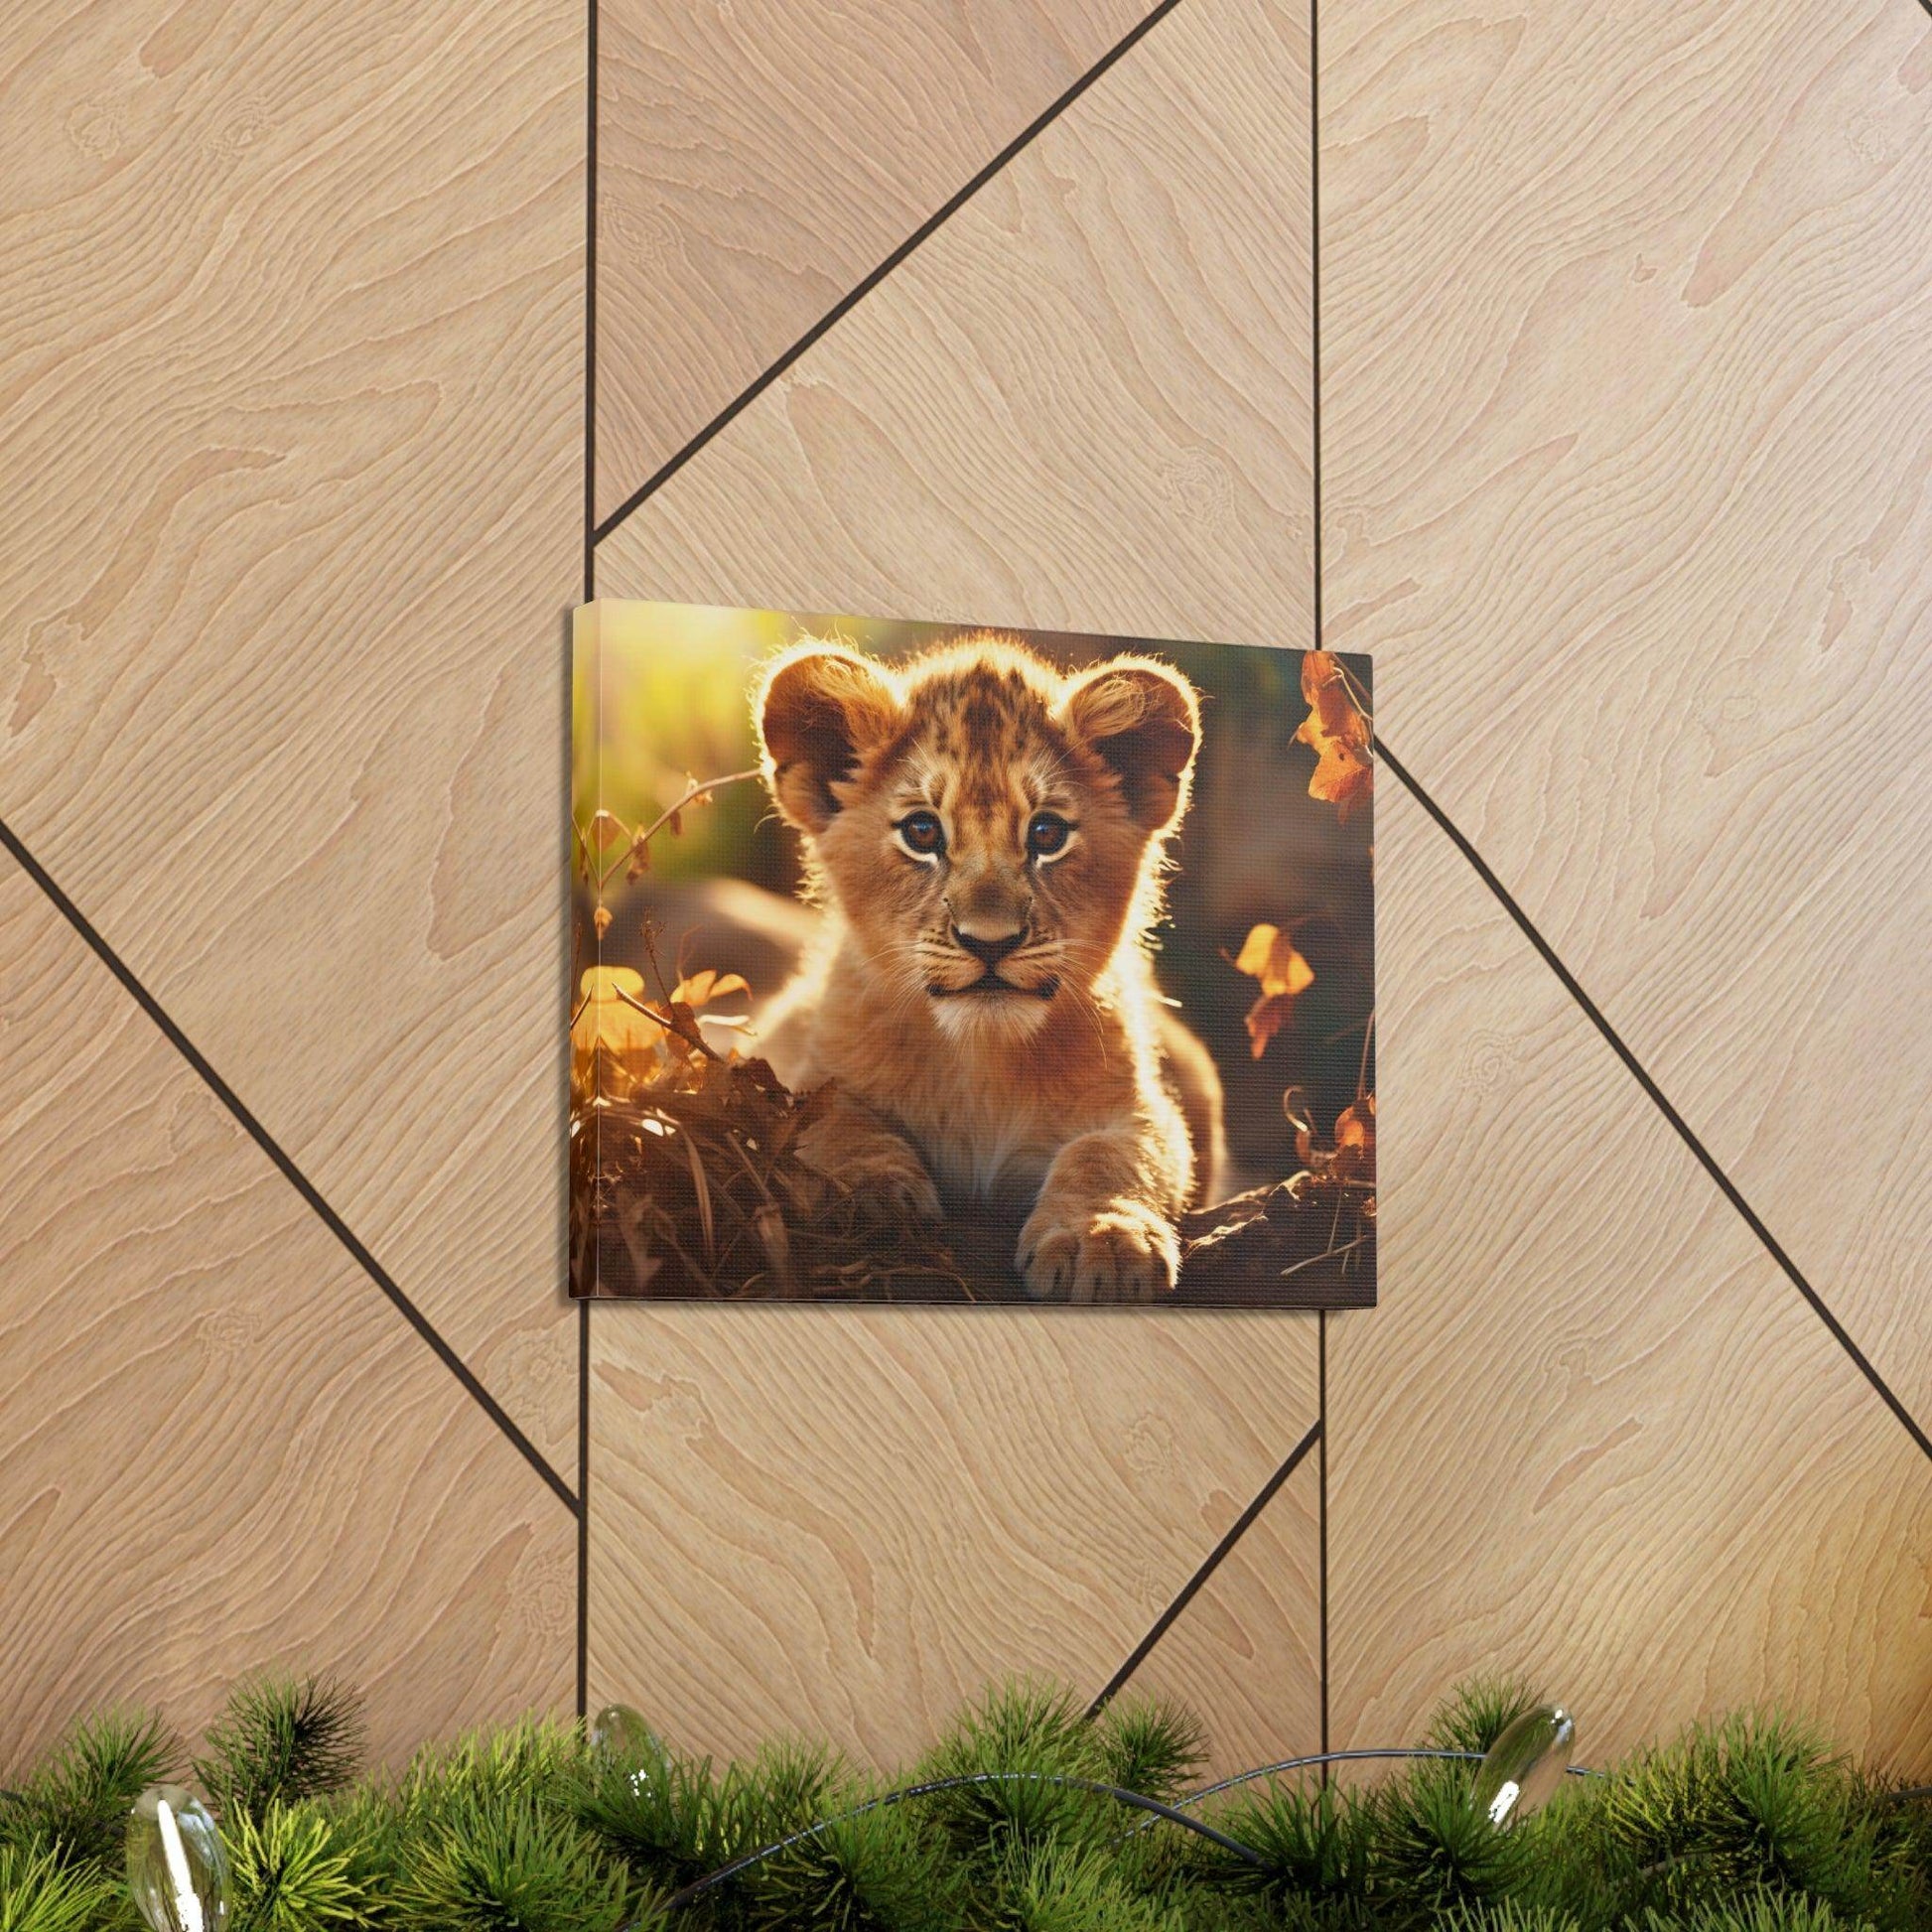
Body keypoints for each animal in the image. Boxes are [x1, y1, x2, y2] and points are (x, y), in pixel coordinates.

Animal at [751, 630, 1225, 1303]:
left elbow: (1113, 1155)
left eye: (1047, 834)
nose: (990, 942)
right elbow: (831, 1122)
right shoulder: (792, 1063)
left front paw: (1102, 1238)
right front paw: (869, 1196)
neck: (979, 1061)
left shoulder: (1140, 1105)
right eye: (922, 831)